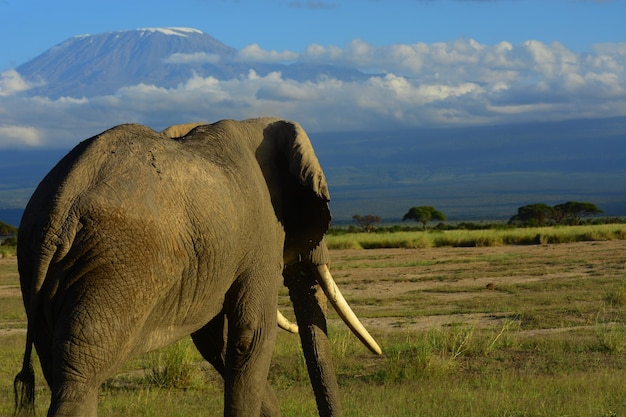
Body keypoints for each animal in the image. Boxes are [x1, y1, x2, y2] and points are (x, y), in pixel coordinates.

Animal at [12, 118, 380, 416]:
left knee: (54, 363)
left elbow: (217, 342)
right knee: (81, 371)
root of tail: (60, 204)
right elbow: (252, 335)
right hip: (116, 261)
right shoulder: (261, 234)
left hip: (34, 263)